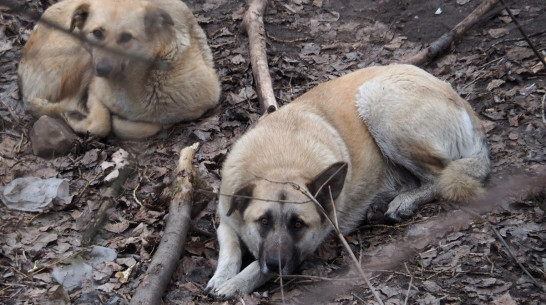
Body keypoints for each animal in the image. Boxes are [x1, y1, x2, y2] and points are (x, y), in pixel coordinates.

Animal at [18, 0, 220, 139]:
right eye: (97, 33)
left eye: (126, 37)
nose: (101, 69)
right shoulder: (95, 89)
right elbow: (102, 123)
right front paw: (81, 120)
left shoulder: (204, 102)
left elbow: (148, 125)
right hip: (79, 53)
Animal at [205, 63, 488, 296]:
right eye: (263, 222)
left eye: (298, 225)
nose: (276, 264)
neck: (280, 164)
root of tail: (465, 105)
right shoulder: (226, 218)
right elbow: (230, 249)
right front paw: (221, 277)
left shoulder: (308, 245)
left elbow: (256, 266)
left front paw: (235, 284)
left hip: (377, 103)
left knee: (439, 176)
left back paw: (403, 202)